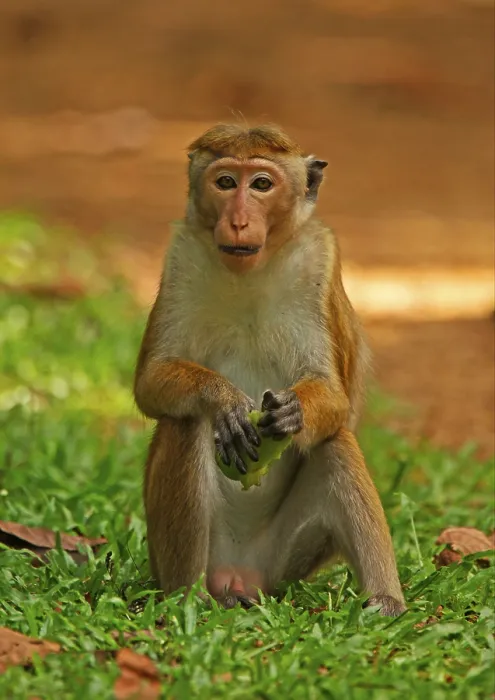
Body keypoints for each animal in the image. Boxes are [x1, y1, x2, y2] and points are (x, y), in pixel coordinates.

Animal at [134, 123, 406, 617]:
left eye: (261, 184)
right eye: (226, 182)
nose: (239, 220)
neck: (249, 271)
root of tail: (240, 576)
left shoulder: (319, 261)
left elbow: (333, 398)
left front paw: (292, 412)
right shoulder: (181, 255)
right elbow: (152, 380)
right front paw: (221, 398)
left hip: (284, 562)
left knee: (335, 442)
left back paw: (385, 601)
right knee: (185, 423)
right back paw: (188, 600)